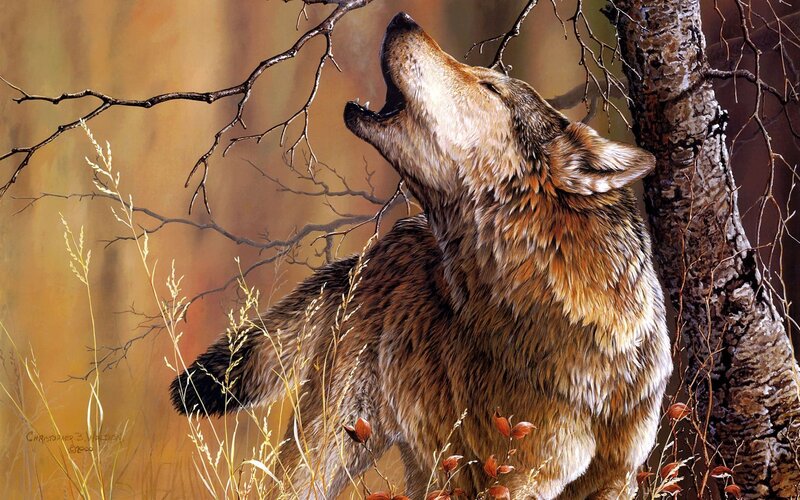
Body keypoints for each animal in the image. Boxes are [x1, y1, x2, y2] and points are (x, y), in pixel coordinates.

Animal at [170, 12, 671, 500]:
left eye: (490, 87)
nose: (401, 17)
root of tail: (379, 247)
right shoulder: (508, 476)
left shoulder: (616, 478)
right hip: (332, 449)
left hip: (425, 465)